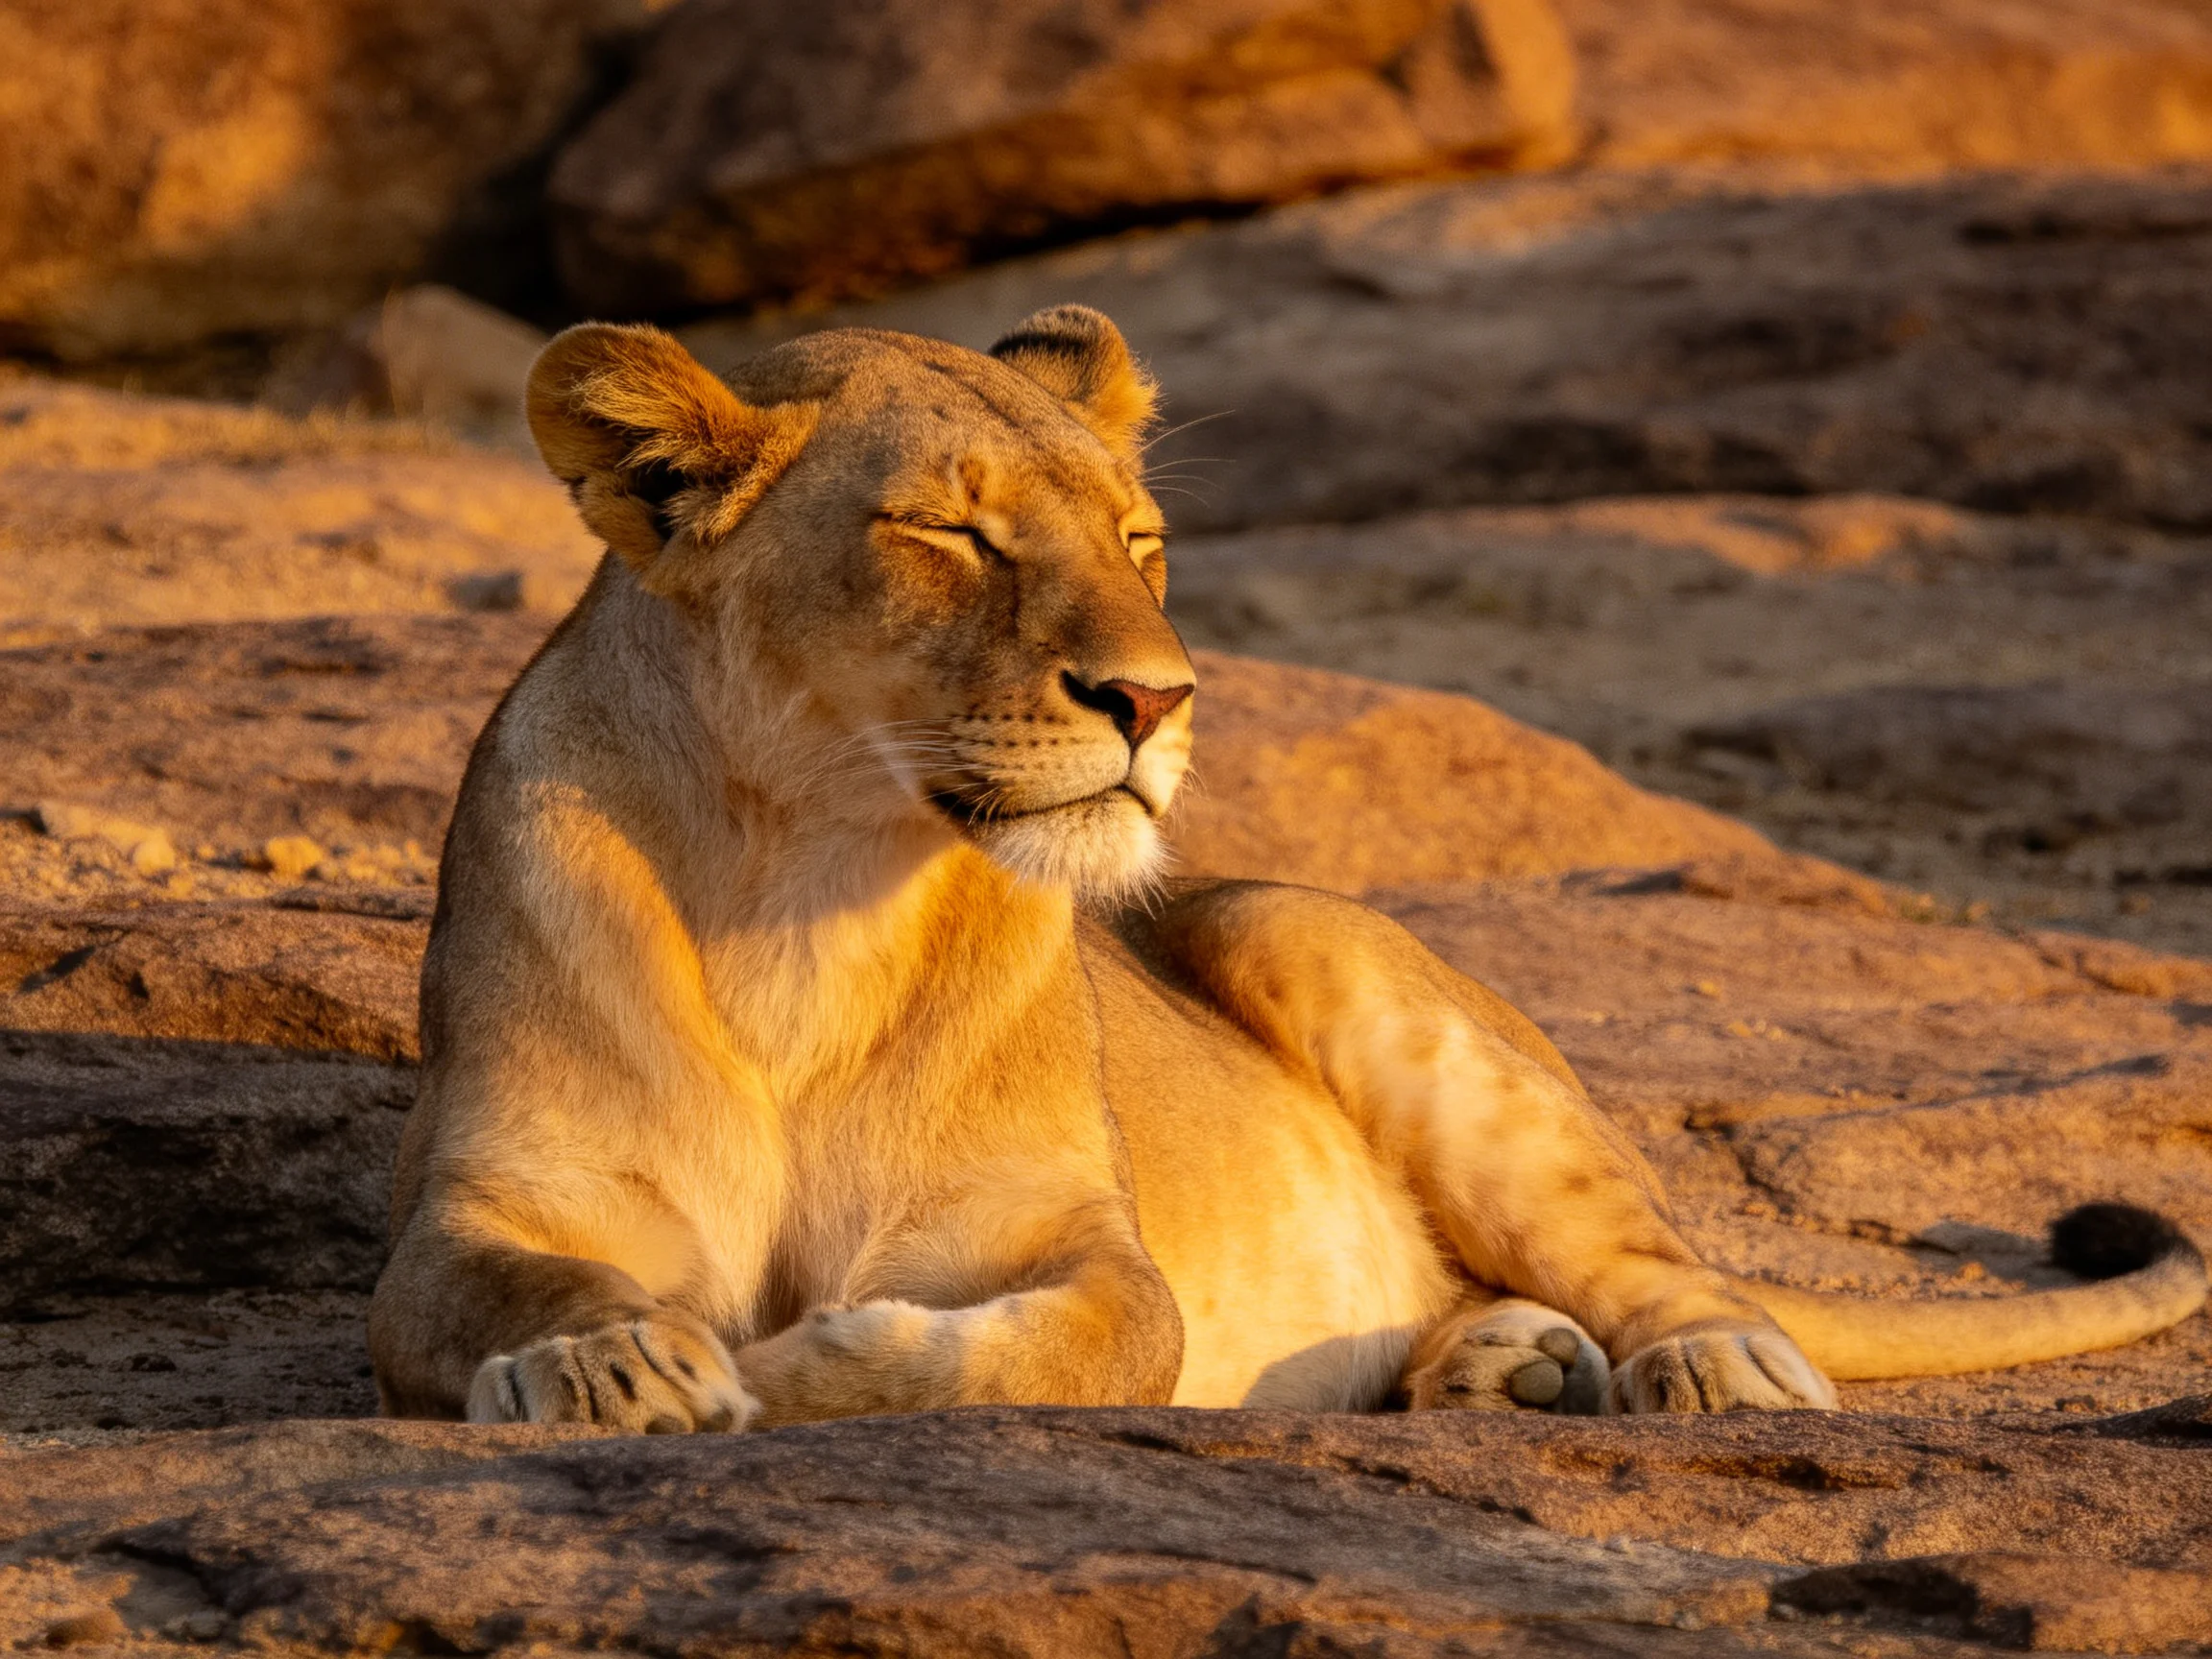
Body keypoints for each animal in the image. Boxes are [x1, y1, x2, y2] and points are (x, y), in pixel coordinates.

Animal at [368, 307, 2206, 1431]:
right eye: (951, 532)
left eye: (1138, 540)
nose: (1155, 699)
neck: (806, 893)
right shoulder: (483, 1205)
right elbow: (489, 1291)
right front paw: (613, 1361)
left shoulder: (1076, 1236)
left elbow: (1088, 1338)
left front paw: (803, 1357)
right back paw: (1505, 1366)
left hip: (1311, 939)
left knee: (1661, 1266)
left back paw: (1707, 1363)